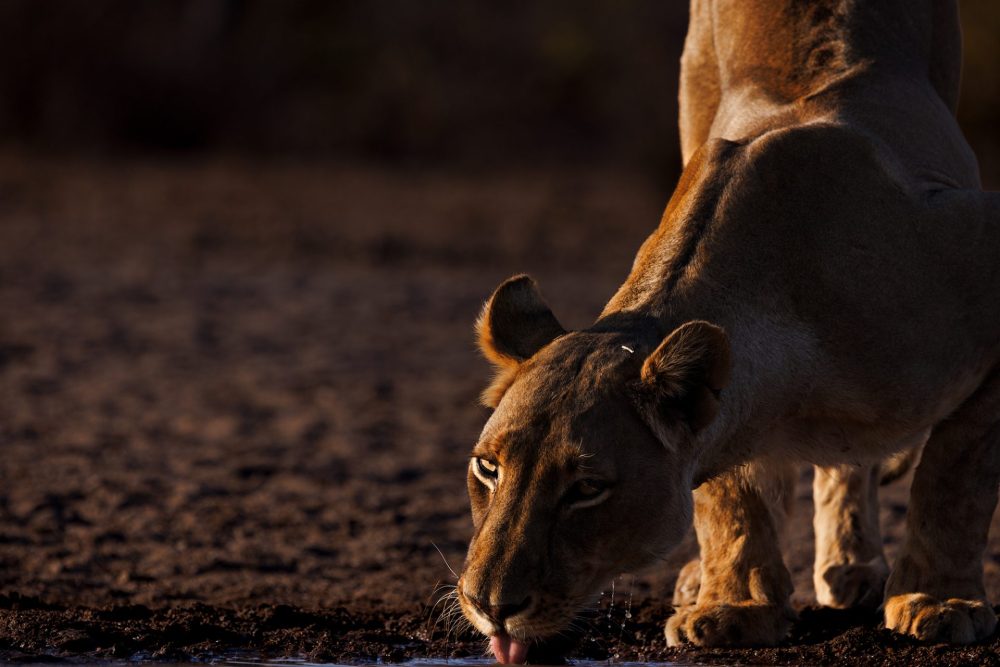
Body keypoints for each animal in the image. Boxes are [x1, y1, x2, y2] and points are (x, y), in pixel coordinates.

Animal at [458, 0, 1000, 661]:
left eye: (587, 487)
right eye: (487, 468)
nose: (489, 606)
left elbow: (957, 474)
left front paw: (940, 602)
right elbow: (729, 494)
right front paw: (734, 608)